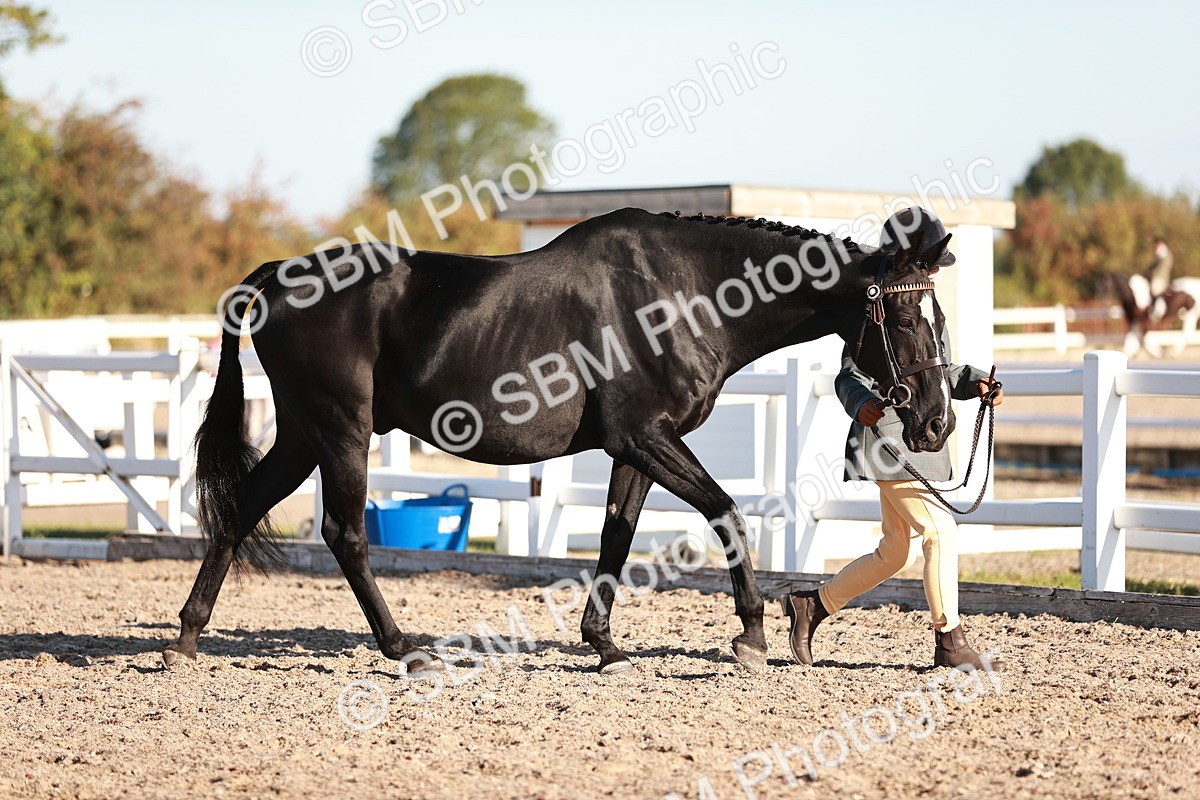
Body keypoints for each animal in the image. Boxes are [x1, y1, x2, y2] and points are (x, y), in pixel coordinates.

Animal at [163, 207, 957, 675]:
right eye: (906, 321)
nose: (937, 423)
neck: (682, 292)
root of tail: (276, 279)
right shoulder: (645, 436)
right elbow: (727, 513)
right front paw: (751, 636)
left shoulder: (634, 447)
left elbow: (615, 535)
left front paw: (604, 646)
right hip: (340, 432)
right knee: (344, 533)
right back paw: (405, 650)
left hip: (303, 436)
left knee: (237, 513)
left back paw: (188, 640)